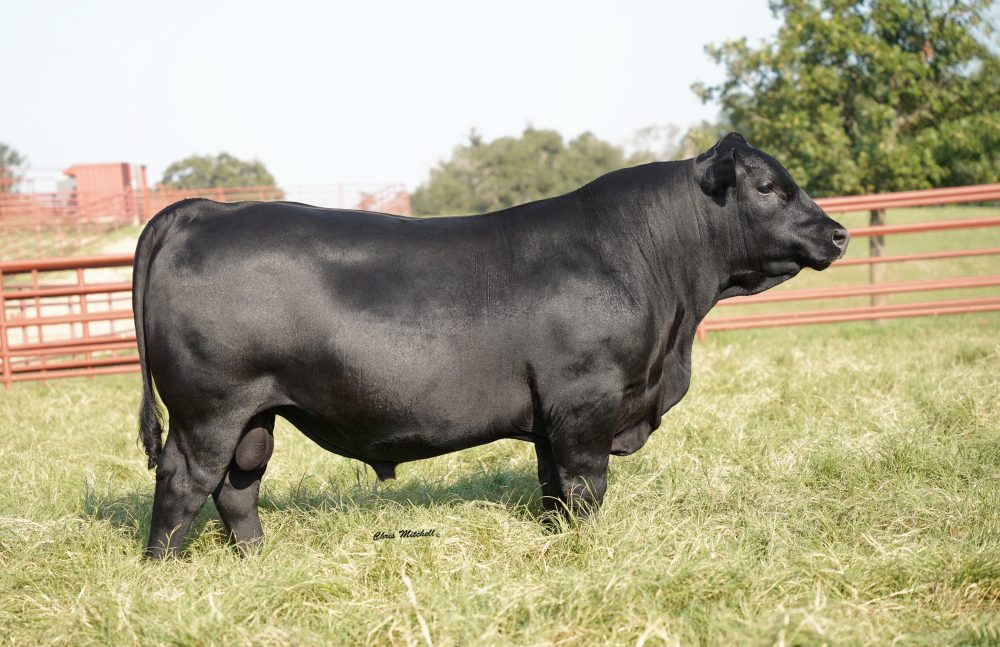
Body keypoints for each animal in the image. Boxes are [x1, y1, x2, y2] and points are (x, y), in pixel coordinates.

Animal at [133, 133, 849, 558]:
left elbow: (554, 489)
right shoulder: (587, 402)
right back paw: (167, 572)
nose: (839, 233)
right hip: (209, 409)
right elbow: (586, 487)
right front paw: (587, 551)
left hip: (255, 413)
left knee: (237, 487)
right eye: (768, 187)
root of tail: (204, 209)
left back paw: (257, 559)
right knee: (183, 484)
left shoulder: (552, 417)